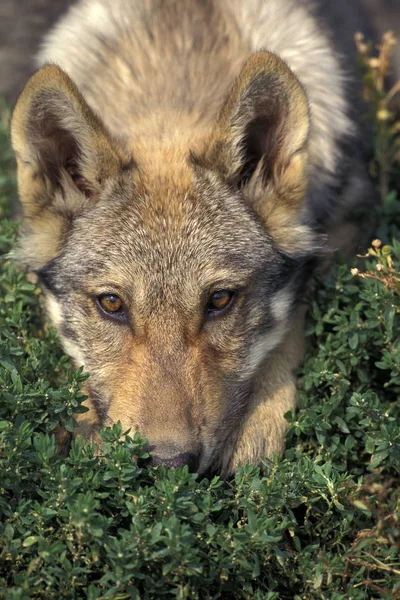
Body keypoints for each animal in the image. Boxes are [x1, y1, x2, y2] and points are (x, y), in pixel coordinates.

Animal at [10, 1, 376, 478]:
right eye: (111, 304)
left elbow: (292, 324)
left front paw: (262, 417)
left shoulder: (352, 221)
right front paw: (84, 422)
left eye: (219, 300)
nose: (168, 463)